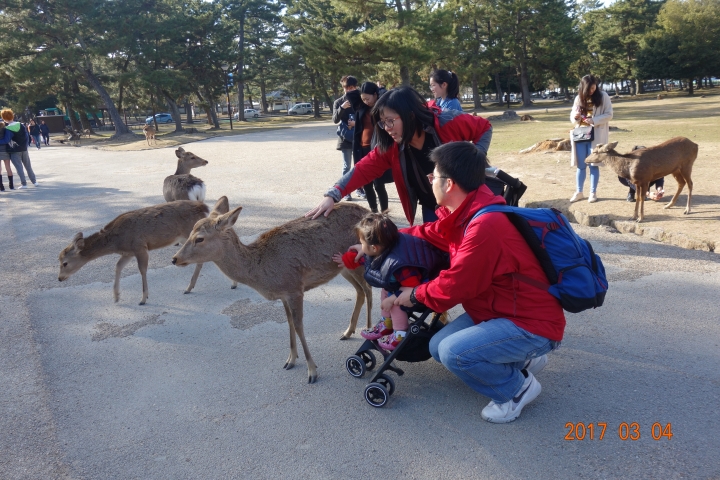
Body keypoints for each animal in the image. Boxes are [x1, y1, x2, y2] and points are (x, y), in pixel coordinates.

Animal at [59, 198, 238, 304]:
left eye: (65, 263)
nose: (60, 278)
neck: (116, 241)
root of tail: (203, 206)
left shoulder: (140, 246)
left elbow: (142, 270)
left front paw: (143, 298)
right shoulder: (128, 252)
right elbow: (117, 267)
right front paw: (116, 296)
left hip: (191, 234)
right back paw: (192, 287)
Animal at [172, 199, 374, 382]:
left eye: (199, 238)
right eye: (190, 233)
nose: (174, 259)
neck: (263, 273)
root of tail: (370, 212)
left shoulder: (295, 288)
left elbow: (299, 326)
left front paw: (312, 371)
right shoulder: (283, 294)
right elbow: (289, 323)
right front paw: (290, 360)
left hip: (360, 258)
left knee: (369, 289)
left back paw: (369, 332)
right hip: (342, 267)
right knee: (360, 290)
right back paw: (348, 332)